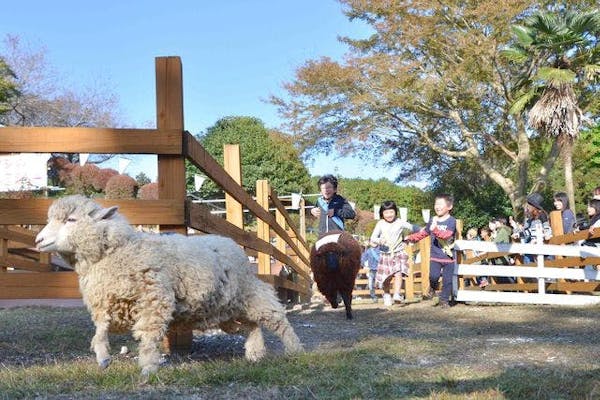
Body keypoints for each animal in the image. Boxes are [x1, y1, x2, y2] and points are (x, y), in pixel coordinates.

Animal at [35, 195, 302, 376]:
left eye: (71, 220)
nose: (38, 240)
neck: (120, 250)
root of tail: (231, 243)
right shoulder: (107, 302)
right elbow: (100, 331)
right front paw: (103, 358)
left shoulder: (154, 300)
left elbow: (149, 336)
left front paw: (148, 368)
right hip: (227, 309)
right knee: (252, 326)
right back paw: (255, 354)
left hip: (250, 293)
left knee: (276, 318)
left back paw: (294, 350)